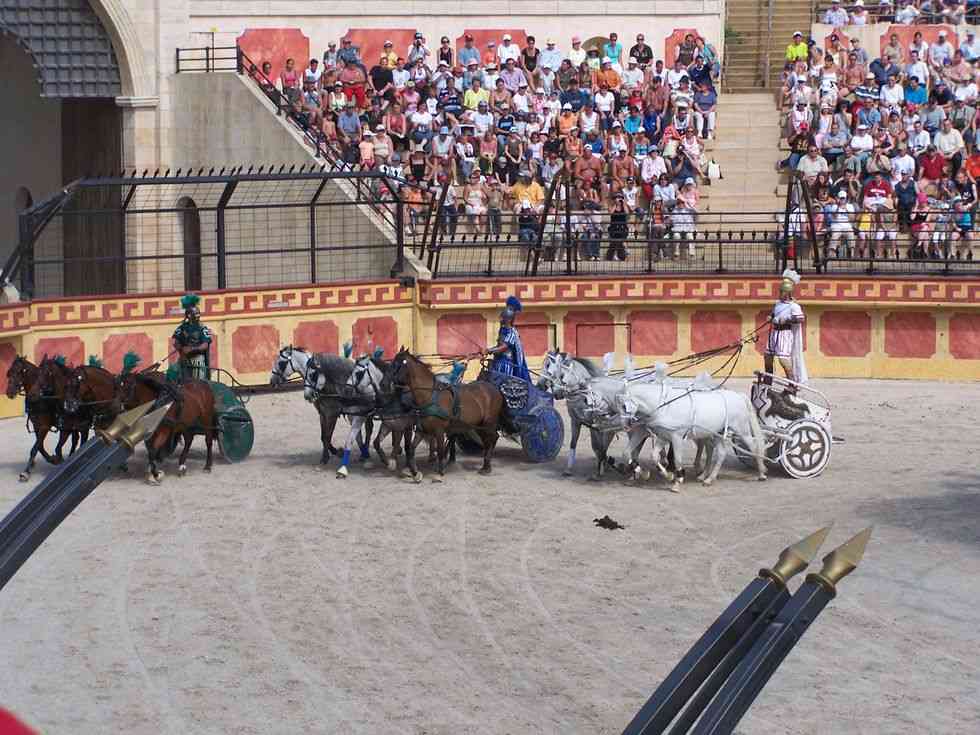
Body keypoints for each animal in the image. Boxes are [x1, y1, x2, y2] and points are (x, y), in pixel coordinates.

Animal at [382, 348, 505, 481]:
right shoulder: (421, 430)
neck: (429, 395)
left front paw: (439, 473)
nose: (383, 384)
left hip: (488, 423)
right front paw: (415, 472)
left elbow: (440, 451)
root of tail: (494, 389)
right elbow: (411, 450)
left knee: (493, 438)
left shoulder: (439, 431)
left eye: (396, 365)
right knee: (489, 440)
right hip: (479, 425)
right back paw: (485, 465)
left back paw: (487, 465)